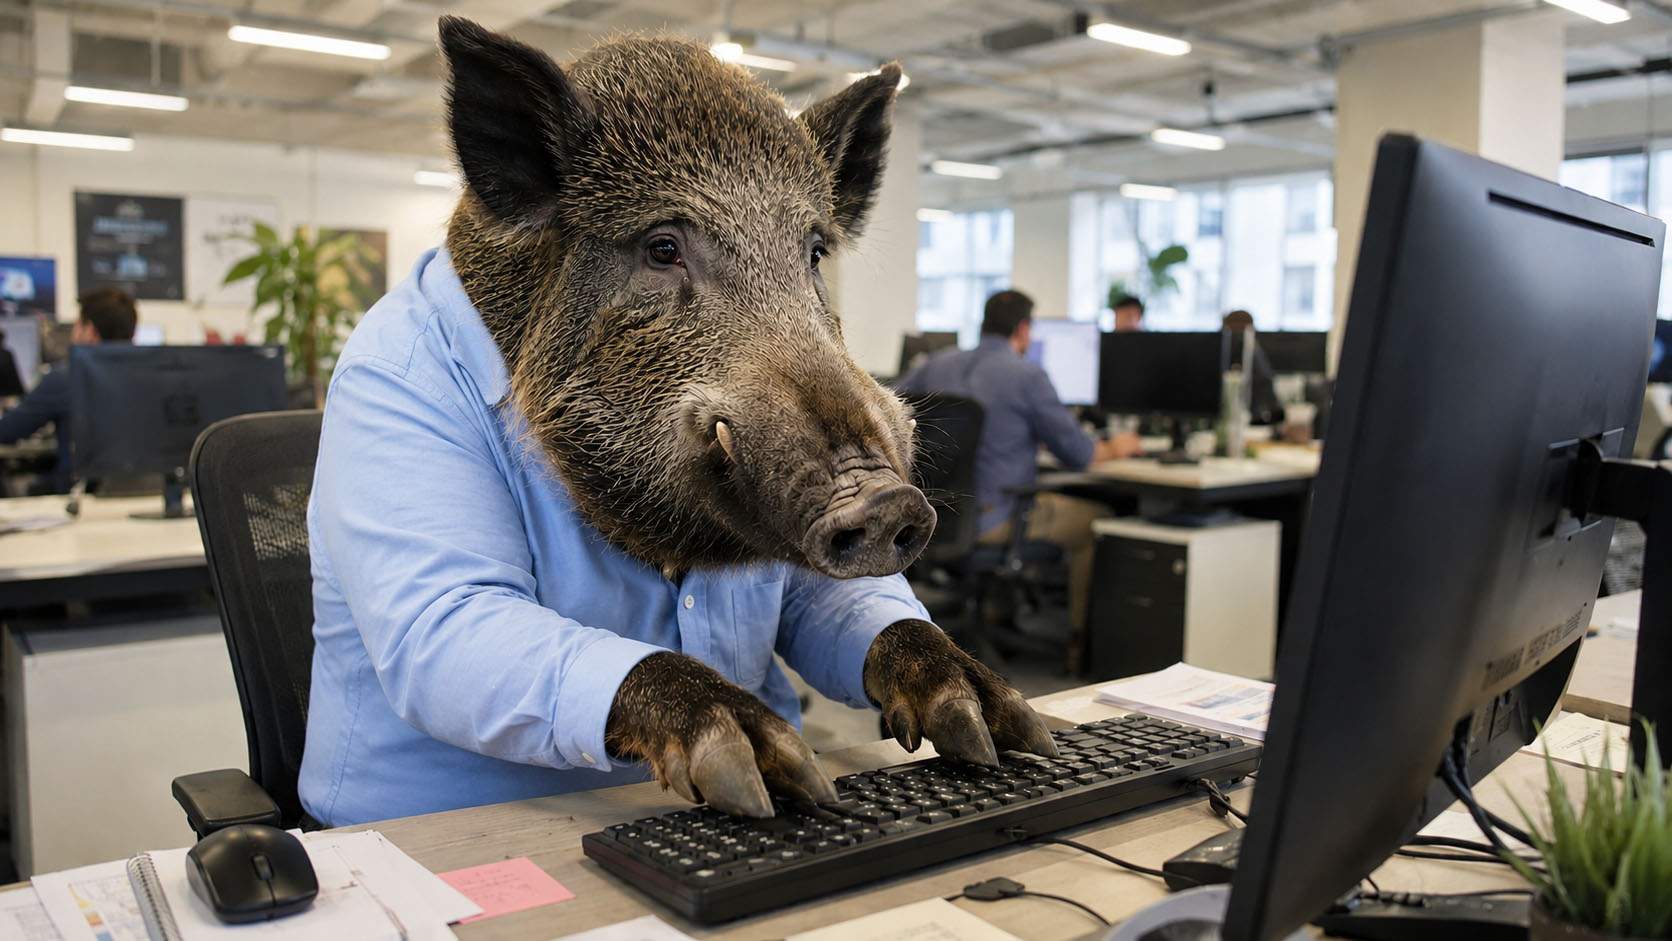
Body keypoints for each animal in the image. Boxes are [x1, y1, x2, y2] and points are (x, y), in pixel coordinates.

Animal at [436, 18, 1057, 817]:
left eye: (816, 252)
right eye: (662, 248)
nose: (887, 501)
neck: (668, 545)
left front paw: (1004, 729)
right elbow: (461, 603)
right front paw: (774, 772)